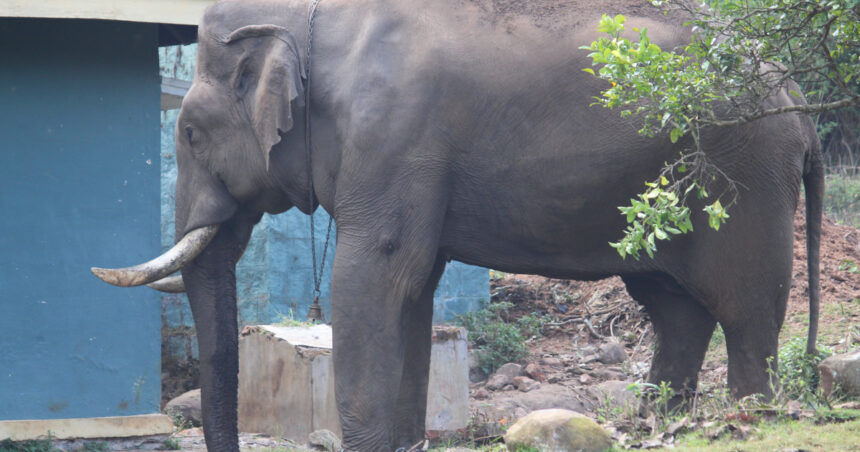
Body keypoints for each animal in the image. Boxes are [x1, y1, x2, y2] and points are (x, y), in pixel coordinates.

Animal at [92, 0, 823, 450]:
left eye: (189, 132)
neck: (311, 18)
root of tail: (798, 97)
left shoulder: (394, 136)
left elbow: (374, 277)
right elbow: (414, 291)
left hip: (745, 180)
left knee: (747, 313)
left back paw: (748, 418)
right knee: (676, 308)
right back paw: (661, 424)